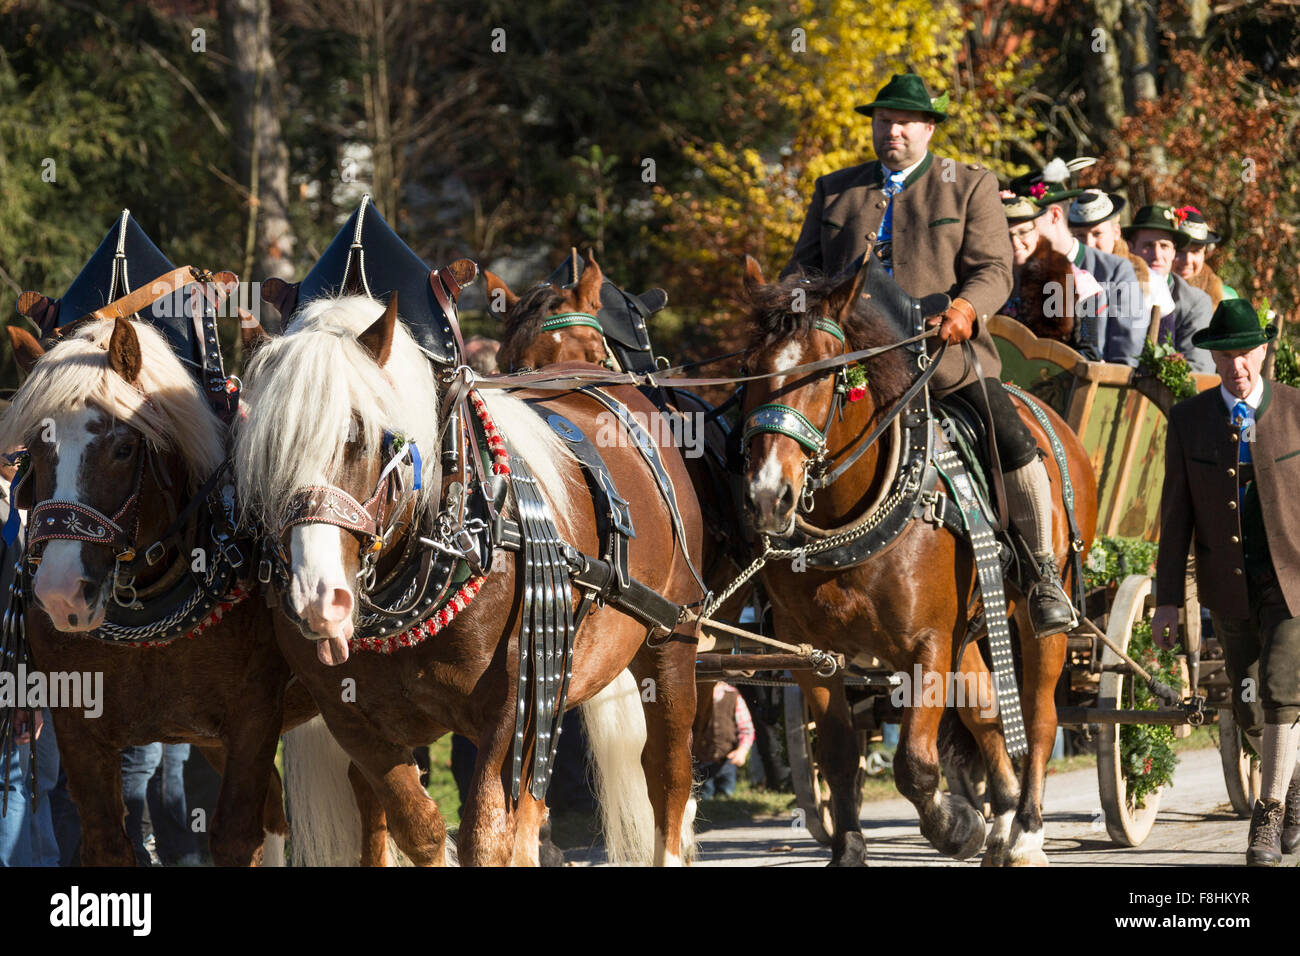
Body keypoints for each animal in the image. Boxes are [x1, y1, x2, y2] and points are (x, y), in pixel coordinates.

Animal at [0, 319, 322, 868]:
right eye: (36, 452)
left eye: (124, 448)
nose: (62, 593)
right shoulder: (77, 728)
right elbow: (106, 842)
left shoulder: (255, 718)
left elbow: (236, 837)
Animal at [231, 291, 702, 868]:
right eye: (265, 455)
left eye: (363, 438)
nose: (319, 600)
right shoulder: (350, 718)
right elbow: (419, 827)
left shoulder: (512, 704)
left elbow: (485, 834)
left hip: (670, 640)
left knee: (667, 775)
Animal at [738, 260, 1092, 868]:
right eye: (750, 371)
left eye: (823, 376)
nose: (767, 497)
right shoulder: (813, 656)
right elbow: (839, 759)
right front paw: (849, 849)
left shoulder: (927, 646)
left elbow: (914, 764)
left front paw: (956, 827)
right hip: (972, 628)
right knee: (987, 712)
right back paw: (1003, 818)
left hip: (1038, 619)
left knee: (1039, 717)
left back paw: (1025, 830)